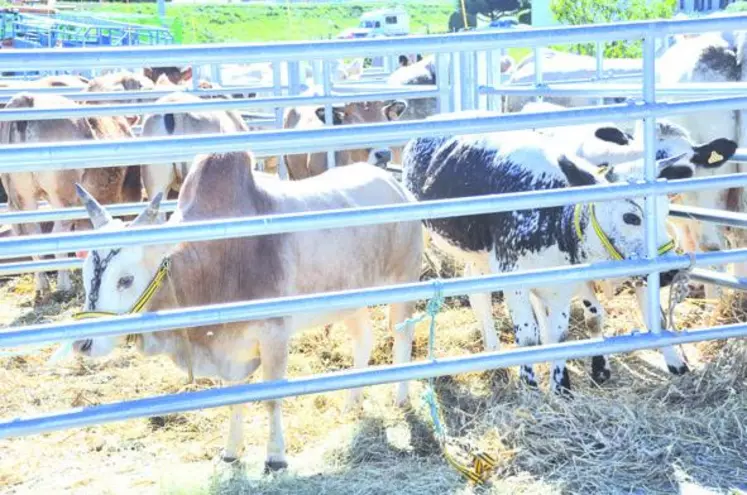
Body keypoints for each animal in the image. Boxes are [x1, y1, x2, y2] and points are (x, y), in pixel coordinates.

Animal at [72, 152, 424, 472]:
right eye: (86, 271)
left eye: (125, 279)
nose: (82, 343)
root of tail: (394, 183)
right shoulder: (229, 348)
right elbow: (233, 399)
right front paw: (231, 451)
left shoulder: (275, 335)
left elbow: (271, 399)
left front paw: (276, 457)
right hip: (350, 300)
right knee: (363, 341)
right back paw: (352, 403)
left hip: (404, 284)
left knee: (402, 338)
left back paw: (401, 398)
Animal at [404, 121, 700, 396]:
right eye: (631, 217)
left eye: (666, 211)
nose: (669, 272)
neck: (556, 215)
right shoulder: (513, 276)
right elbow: (528, 337)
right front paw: (532, 387)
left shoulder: (562, 284)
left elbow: (560, 334)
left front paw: (561, 387)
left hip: (481, 259)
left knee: (478, 292)